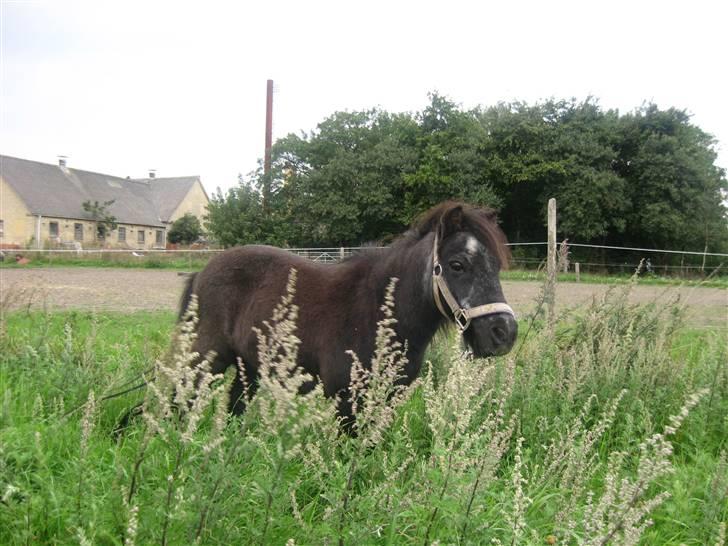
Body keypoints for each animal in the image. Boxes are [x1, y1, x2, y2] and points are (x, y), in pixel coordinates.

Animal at [181, 202, 516, 418]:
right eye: (458, 265)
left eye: (497, 266)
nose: (504, 333)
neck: (378, 311)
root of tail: (202, 272)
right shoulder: (346, 399)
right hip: (204, 359)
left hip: (248, 366)